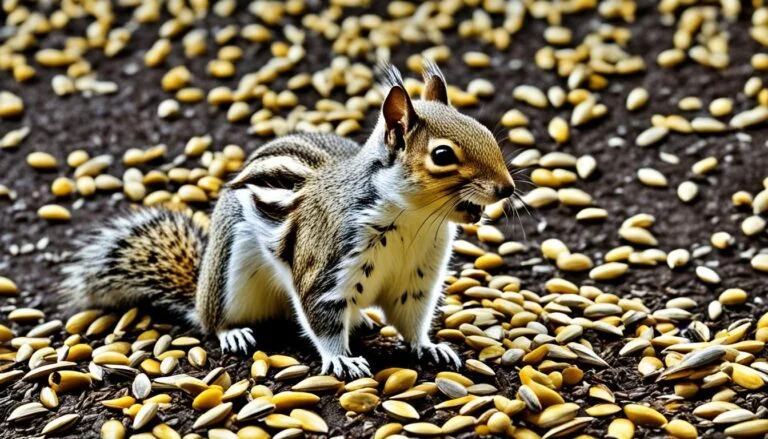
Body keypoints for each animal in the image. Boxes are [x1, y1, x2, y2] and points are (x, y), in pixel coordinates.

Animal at [61, 61, 516, 378]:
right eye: (442, 155)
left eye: (483, 129)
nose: (507, 189)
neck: (414, 221)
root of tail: (201, 291)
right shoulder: (327, 264)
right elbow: (322, 319)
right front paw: (342, 360)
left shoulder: (415, 281)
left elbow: (412, 320)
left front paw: (428, 346)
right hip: (230, 277)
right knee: (212, 320)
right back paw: (231, 331)